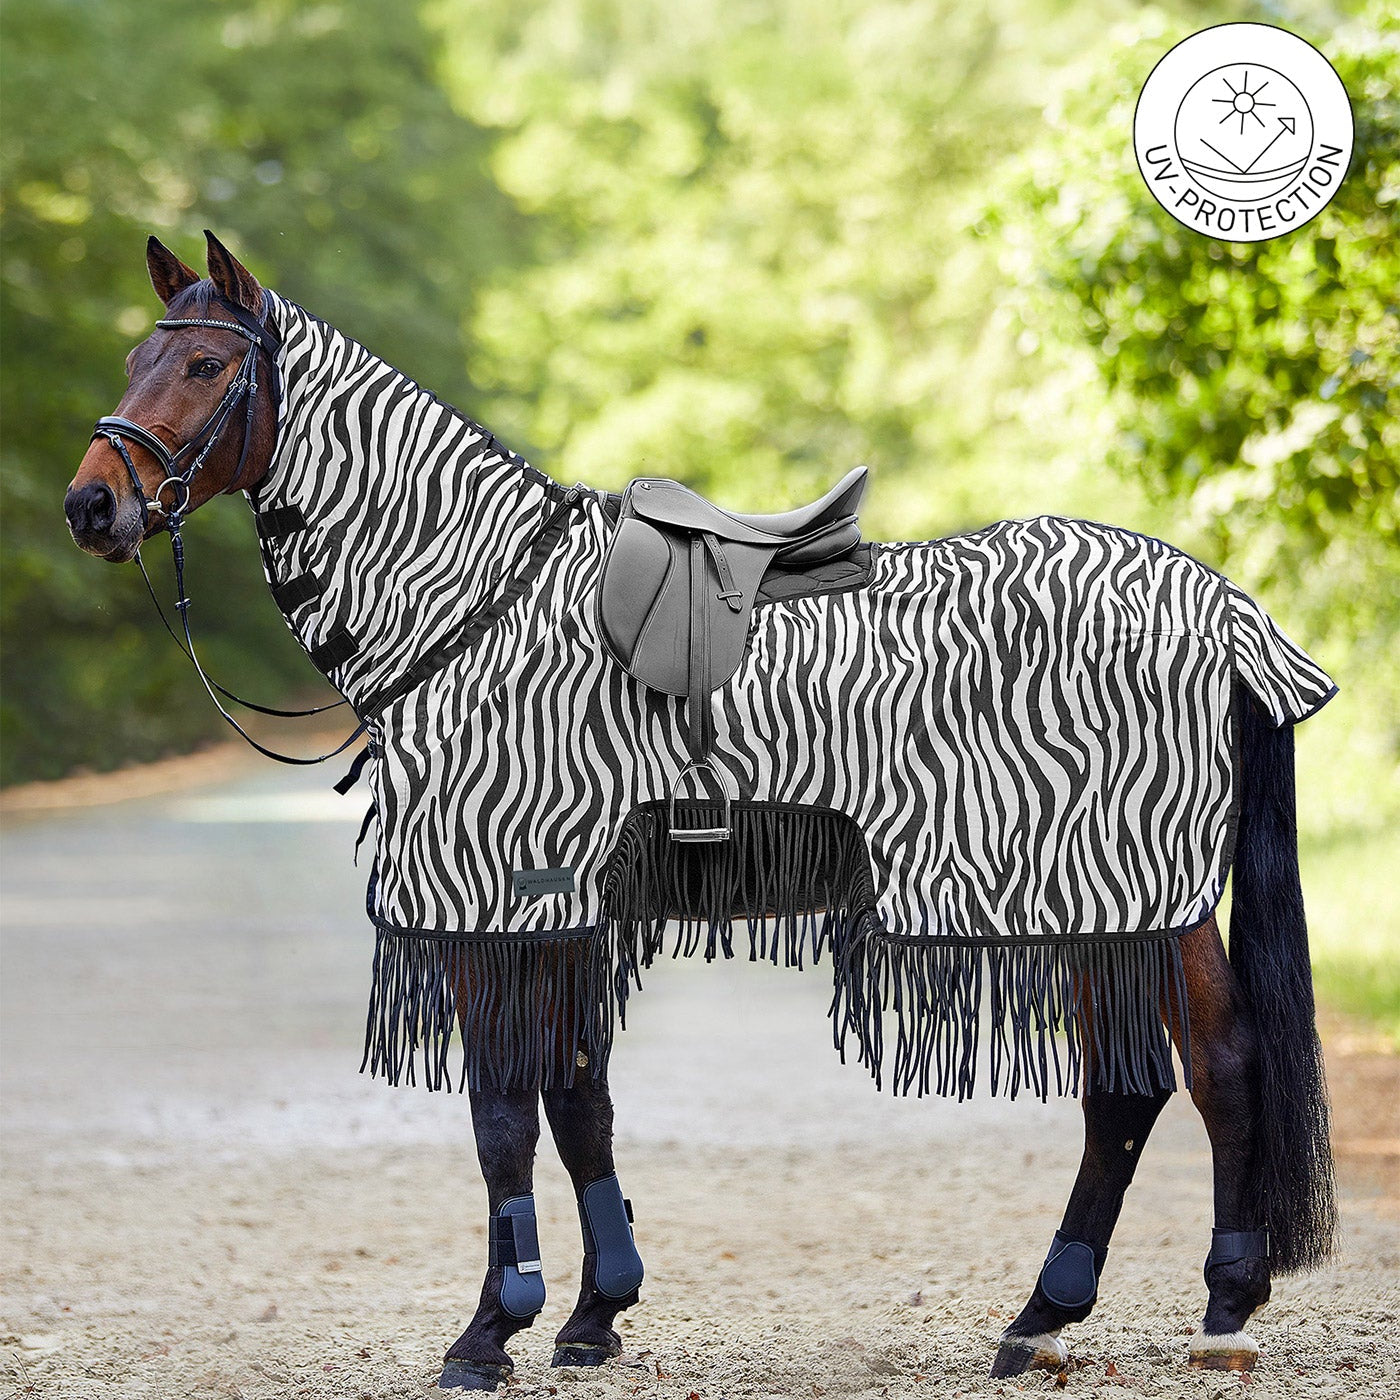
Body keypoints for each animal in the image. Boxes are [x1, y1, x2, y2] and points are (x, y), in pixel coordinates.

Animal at [65, 232, 1338, 1390]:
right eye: (133, 354)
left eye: (200, 366)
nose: (91, 504)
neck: (475, 602)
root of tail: (1220, 604)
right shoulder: (562, 905)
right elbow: (579, 1097)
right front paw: (592, 1314)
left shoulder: (501, 898)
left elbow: (501, 1113)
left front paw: (489, 1330)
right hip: (1096, 897)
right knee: (1143, 1083)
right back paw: (1056, 1314)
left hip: (1129, 887)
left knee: (1209, 1066)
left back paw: (1208, 1307)